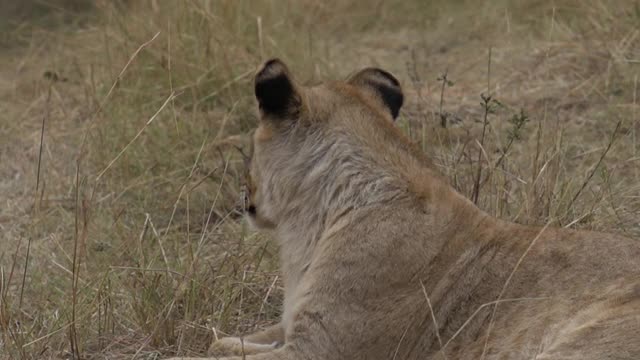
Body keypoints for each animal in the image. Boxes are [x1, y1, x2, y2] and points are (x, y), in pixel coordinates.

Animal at [166, 57, 640, 358]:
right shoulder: (293, 327)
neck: (313, 223)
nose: (243, 194)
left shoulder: (319, 351)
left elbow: (213, 354)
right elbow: (224, 342)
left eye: (250, 147)